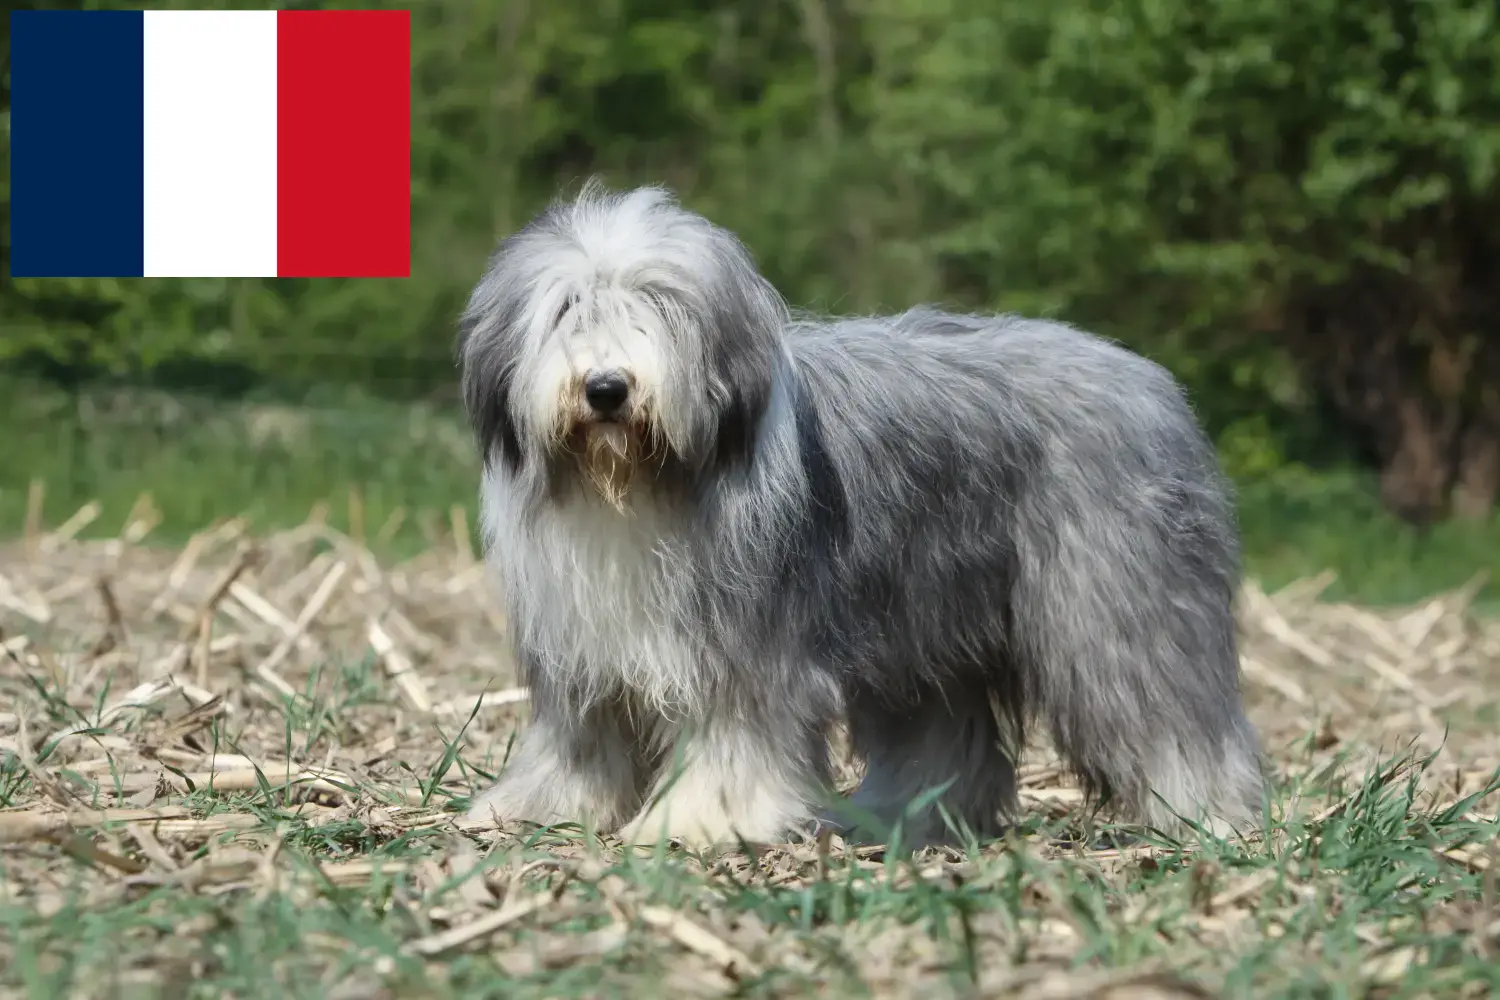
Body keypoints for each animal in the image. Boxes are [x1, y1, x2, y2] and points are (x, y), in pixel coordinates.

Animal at [459, 182, 1266, 851]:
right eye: (568, 309)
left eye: (657, 307)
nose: (606, 389)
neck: (637, 486)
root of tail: (1151, 381)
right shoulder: (581, 650)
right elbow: (581, 740)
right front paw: (536, 809)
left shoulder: (749, 646)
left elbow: (737, 736)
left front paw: (700, 822)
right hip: (931, 619)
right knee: (945, 731)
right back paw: (902, 817)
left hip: (1117, 606)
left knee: (1170, 710)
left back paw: (1213, 815)